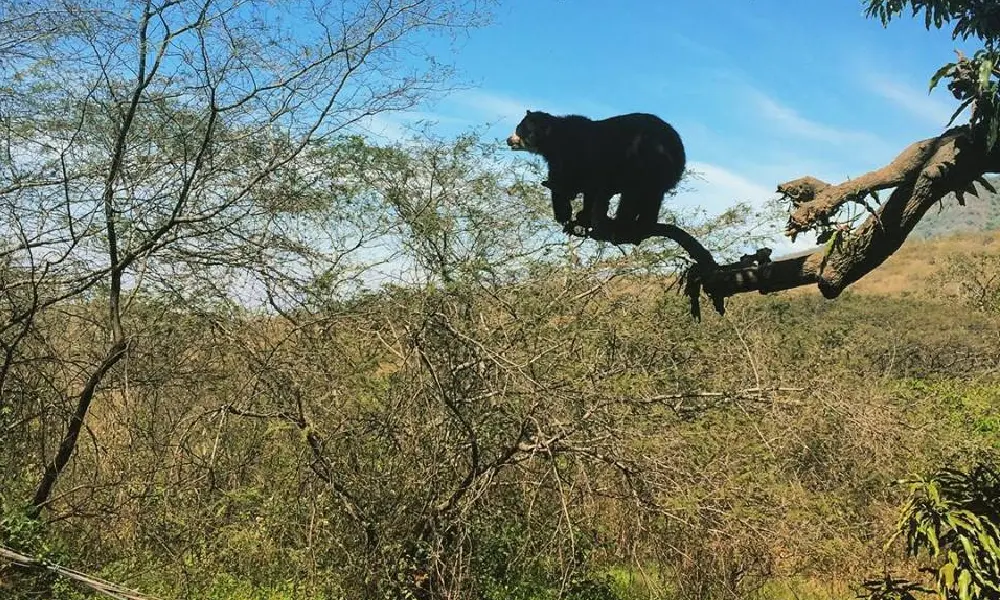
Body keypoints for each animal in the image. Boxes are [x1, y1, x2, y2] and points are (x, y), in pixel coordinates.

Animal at [508, 110, 688, 244]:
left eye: (519, 129)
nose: (508, 140)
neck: (552, 141)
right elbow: (585, 190)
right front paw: (580, 217)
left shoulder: (575, 155)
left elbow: (567, 183)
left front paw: (565, 214)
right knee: (652, 197)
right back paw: (643, 225)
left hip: (642, 160)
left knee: (632, 196)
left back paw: (621, 228)